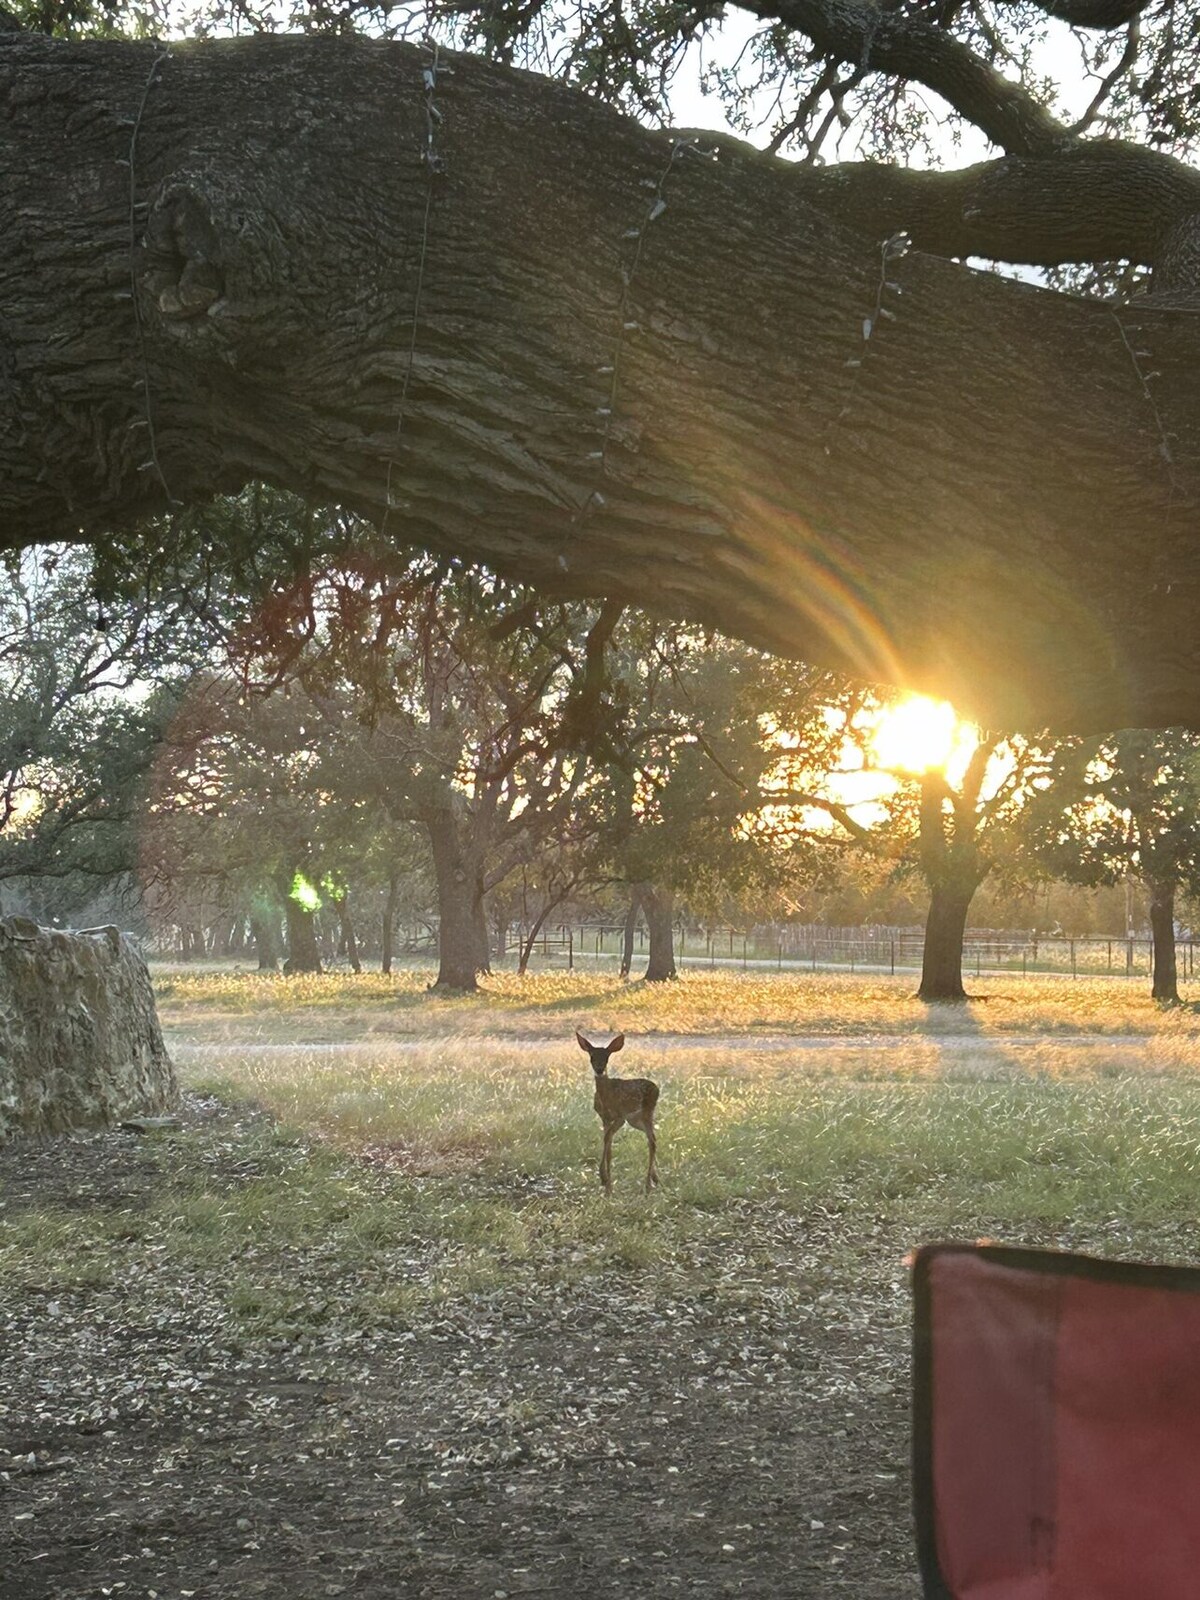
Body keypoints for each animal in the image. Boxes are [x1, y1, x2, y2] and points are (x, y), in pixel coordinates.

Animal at [579, 1030, 662, 1196]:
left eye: (607, 1057)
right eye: (591, 1056)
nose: (599, 1070)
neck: (606, 1097)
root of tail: (657, 1088)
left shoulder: (619, 1117)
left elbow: (607, 1140)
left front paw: (606, 1182)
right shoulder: (604, 1118)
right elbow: (608, 1144)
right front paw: (606, 1182)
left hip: (647, 1111)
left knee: (652, 1141)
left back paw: (648, 1184)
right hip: (635, 1120)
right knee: (652, 1138)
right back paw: (655, 1178)